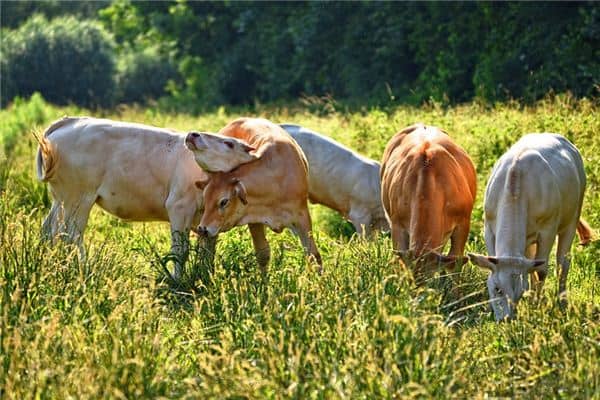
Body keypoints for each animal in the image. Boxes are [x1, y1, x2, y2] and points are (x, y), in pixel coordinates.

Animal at [35, 115, 216, 278]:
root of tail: (71, 120)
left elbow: (208, 252)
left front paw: (207, 277)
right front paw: (177, 280)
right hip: (77, 199)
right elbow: (180, 250)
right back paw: (81, 268)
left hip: (61, 199)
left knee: (49, 229)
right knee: (70, 235)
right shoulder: (180, 207)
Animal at [192, 117, 324, 274]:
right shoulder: (255, 220)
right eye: (205, 198)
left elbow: (314, 256)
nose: (202, 228)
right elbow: (263, 255)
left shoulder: (302, 216)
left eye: (224, 201)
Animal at [468, 133, 592, 320]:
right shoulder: (488, 228)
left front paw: (535, 305)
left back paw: (562, 301)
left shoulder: (548, 230)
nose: (507, 320)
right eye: (497, 289)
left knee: (562, 263)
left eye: (519, 293)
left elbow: (541, 270)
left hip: (572, 217)